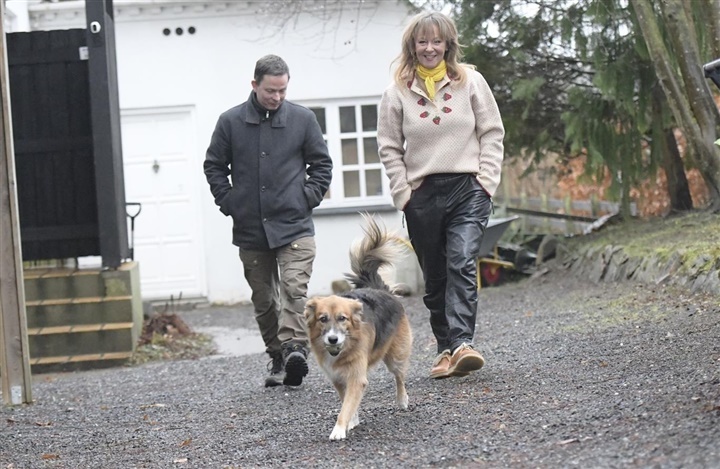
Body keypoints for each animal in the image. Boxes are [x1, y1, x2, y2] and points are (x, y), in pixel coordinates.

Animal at [304, 214, 414, 440]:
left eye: (343, 318)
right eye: (322, 319)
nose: (333, 339)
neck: (341, 349)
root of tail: (381, 290)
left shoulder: (356, 376)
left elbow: (346, 405)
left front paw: (339, 429)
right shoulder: (337, 378)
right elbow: (347, 401)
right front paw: (352, 421)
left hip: (395, 355)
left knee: (399, 376)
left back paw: (402, 400)